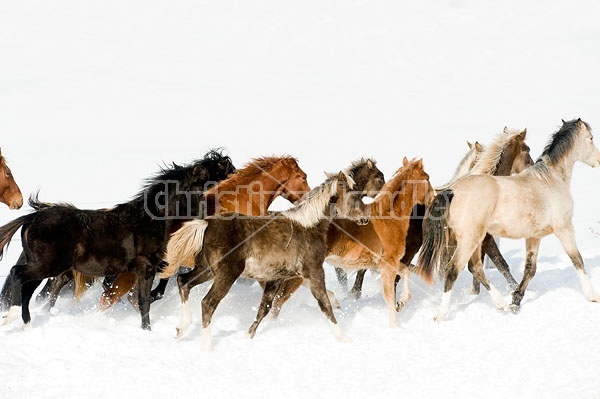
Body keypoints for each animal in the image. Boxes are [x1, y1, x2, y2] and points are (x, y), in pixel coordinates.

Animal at [0, 150, 234, 332]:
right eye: (212, 182)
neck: (154, 220)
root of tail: (32, 218)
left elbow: (143, 298)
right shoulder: (146, 269)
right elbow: (143, 302)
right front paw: (146, 330)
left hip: (46, 267)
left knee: (28, 289)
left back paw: (26, 324)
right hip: (47, 265)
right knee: (18, 275)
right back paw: (12, 316)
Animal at [159, 171, 368, 350]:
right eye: (354, 195)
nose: (365, 219)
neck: (308, 226)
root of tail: (207, 223)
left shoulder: (276, 278)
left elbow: (265, 307)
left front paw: (247, 336)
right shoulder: (314, 272)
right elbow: (325, 305)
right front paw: (344, 337)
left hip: (206, 270)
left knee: (183, 282)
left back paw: (181, 329)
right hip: (226, 274)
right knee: (207, 303)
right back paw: (206, 347)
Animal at [270, 157, 432, 328]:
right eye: (427, 178)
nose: (434, 197)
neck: (388, 218)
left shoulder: (384, 263)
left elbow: (404, 273)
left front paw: (401, 303)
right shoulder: (387, 264)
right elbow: (387, 294)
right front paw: (395, 324)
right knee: (278, 302)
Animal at [418, 119, 600, 322]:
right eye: (591, 138)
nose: (598, 160)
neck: (551, 180)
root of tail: (452, 190)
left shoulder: (534, 236)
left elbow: (530, 269)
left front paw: (515, 301)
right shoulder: (564, 228)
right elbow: (577, 260)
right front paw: (592, 296)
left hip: (475, 240)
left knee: (475, 267)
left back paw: (501, 304)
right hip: (469, 240)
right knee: (453, 270)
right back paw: (440, 315)